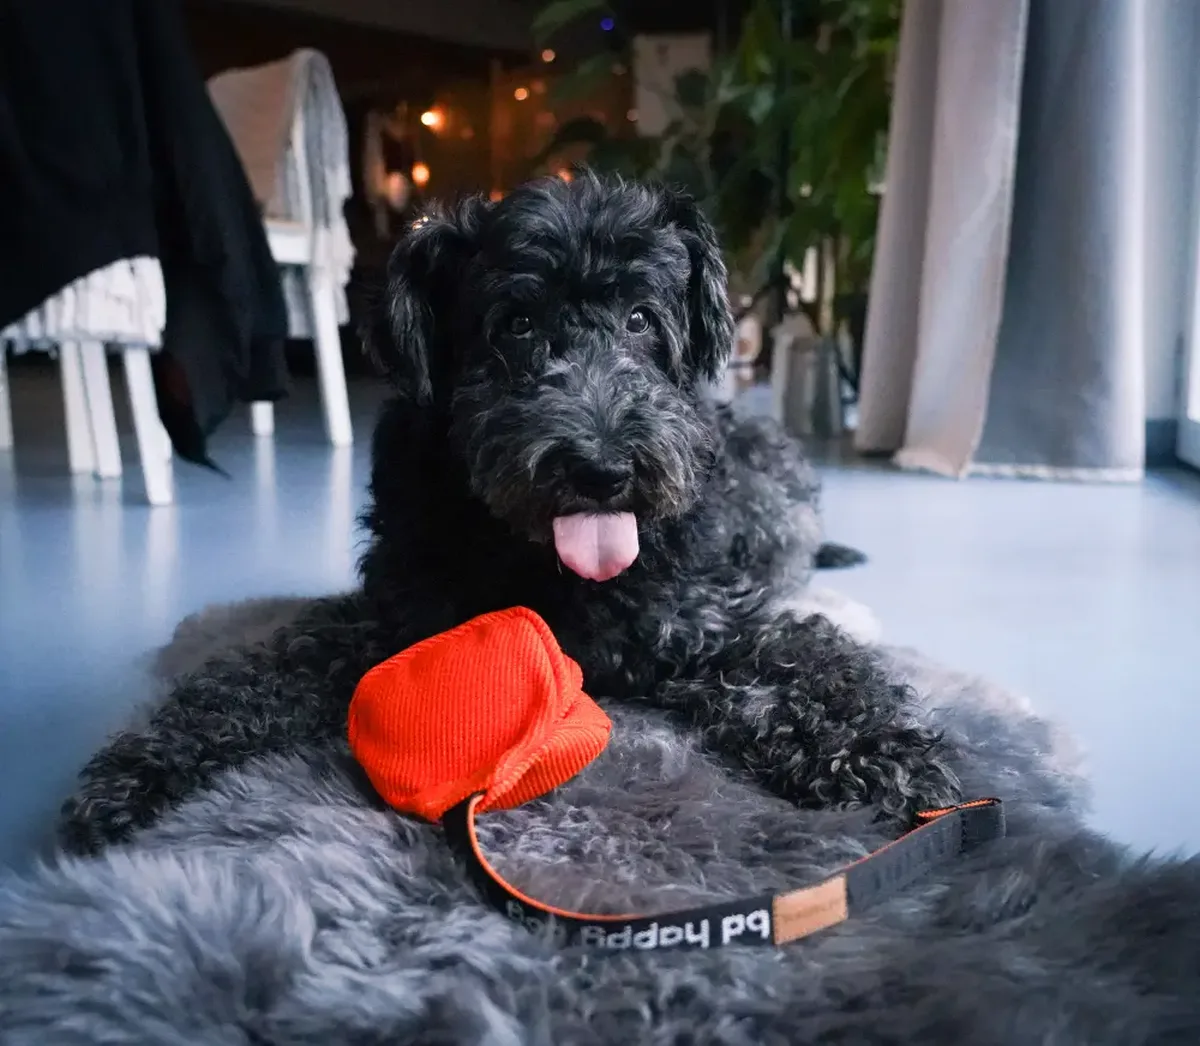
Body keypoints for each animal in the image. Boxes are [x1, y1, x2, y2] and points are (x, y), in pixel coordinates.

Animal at [58, 173, 958, 855]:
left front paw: (888, 753)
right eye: (516, 322)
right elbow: (252, 673)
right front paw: (144, 765)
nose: (603, 471)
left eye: (641, 318)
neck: (546, 562)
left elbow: (814, 664)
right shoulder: (393, 622)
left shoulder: (716, 621)